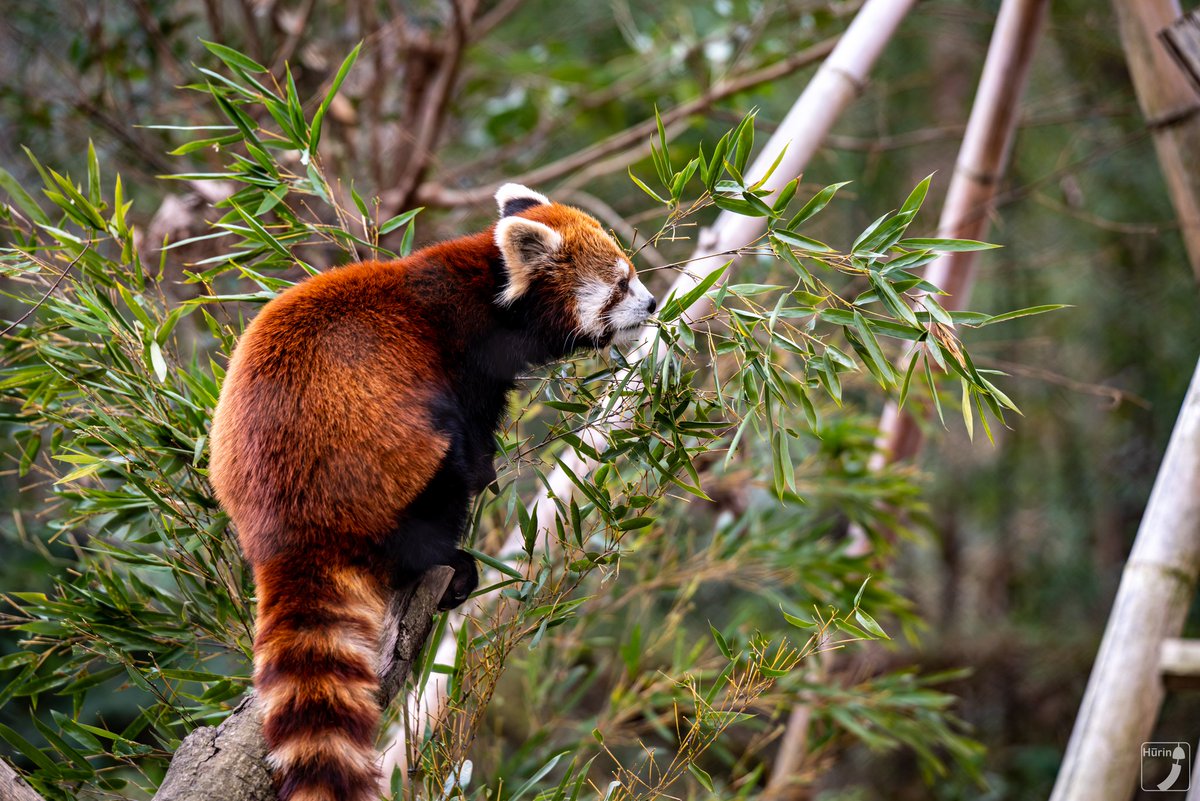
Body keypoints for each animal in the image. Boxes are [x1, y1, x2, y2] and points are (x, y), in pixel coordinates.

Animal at [207, 184, 657, 801]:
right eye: (620, 283)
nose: (654, 304)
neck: (488, 291)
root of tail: (284, 532)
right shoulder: (462, 358)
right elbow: (473, 433)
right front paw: (488, 471)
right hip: (382, 471)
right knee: (438, 481)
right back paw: (452, 564)